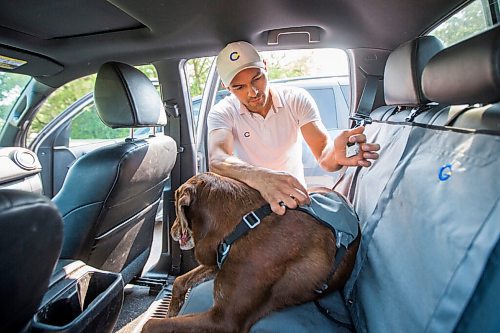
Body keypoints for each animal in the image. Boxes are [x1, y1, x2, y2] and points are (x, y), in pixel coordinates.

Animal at [143, 172, 358, 332]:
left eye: (176, 204)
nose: (171, 231)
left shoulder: (224, 320)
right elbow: (179, 281)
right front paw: (172, 309)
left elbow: (152, 324)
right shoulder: (219, 262)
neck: (243, 224)